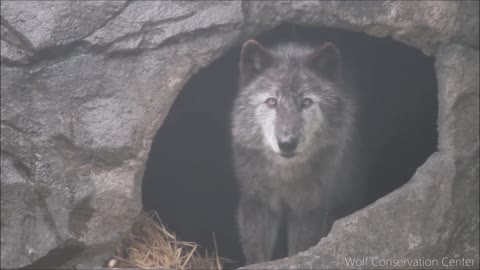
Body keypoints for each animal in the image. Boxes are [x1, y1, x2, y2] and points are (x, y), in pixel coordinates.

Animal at [231, 39, 366, 264]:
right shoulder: (257, 201)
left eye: (306, 102)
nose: (287, 143)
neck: (286, 176)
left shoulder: (309, 207)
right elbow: (257, 253)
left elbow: (301, 249)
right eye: (272, 102)